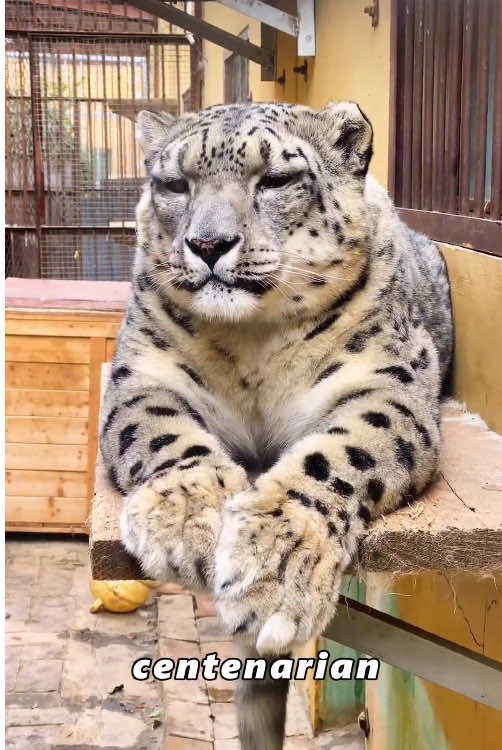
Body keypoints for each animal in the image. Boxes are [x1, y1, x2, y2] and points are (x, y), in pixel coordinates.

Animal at [100, 101, 453, 750]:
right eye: (174, 184)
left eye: (277, 179)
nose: (208, 243)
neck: (254, 345)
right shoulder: (142, 372)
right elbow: (160, 428)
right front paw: (186, 517)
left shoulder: (389, 383)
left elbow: (343, 451)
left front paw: (278, 566)